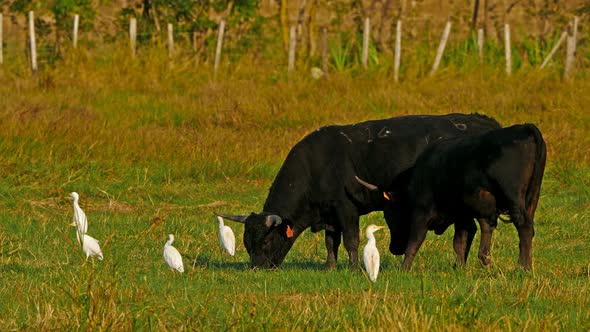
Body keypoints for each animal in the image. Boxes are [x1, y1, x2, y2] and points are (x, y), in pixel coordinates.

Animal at [215, 113, 502, 268]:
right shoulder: (329, 215)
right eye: (246, 242)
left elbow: (351, 240)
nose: (257, 267)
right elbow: (331, 242)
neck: (318, 164)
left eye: (266, 241)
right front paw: (330, 266)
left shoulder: (347, 209)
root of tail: (483, 121)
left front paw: (353, 268)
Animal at [358, 123, 548, 272]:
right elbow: (460, 241)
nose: (395, 249)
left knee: (523, 227)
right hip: (531, 199)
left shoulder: (422, 211)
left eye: (389, 214)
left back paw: (523, 267)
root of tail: (525, 128)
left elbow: (415, 241)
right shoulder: (462, 214)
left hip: (513, 198)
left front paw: (403, 269)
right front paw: (460, 268)